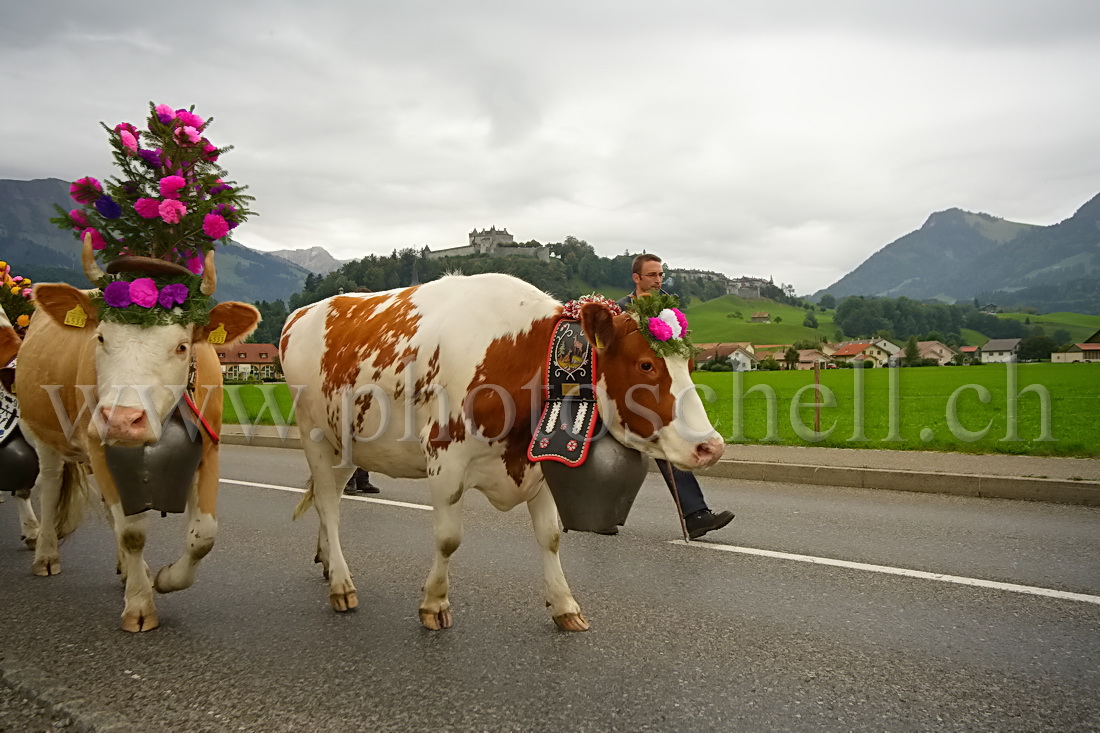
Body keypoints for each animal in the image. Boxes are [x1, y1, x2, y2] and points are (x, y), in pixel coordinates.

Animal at [15, 101, 259, 629]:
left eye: (182, 347)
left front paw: (163, 579)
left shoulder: (209, 444)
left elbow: (203, 534)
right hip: (45, 434)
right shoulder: (97, 440)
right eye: (101, 337)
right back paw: (47, 555)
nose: (123, 419)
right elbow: (131, 530)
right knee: (48, 487)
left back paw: (130, 571)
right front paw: (141, 605)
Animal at [281, 270, 721, 629]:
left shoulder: (541, 458)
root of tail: (303, 312)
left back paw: (327, 563)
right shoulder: (445, 458)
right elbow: (448, 539)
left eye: (690, 365)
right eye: (646, 364)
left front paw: (565, 606)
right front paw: (434, 604)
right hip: (314, 435)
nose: (711, 446)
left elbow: (550, 537)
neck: (517, 354)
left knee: (329, 499)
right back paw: (342, 586)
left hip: (344, 444)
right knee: (328, 504)